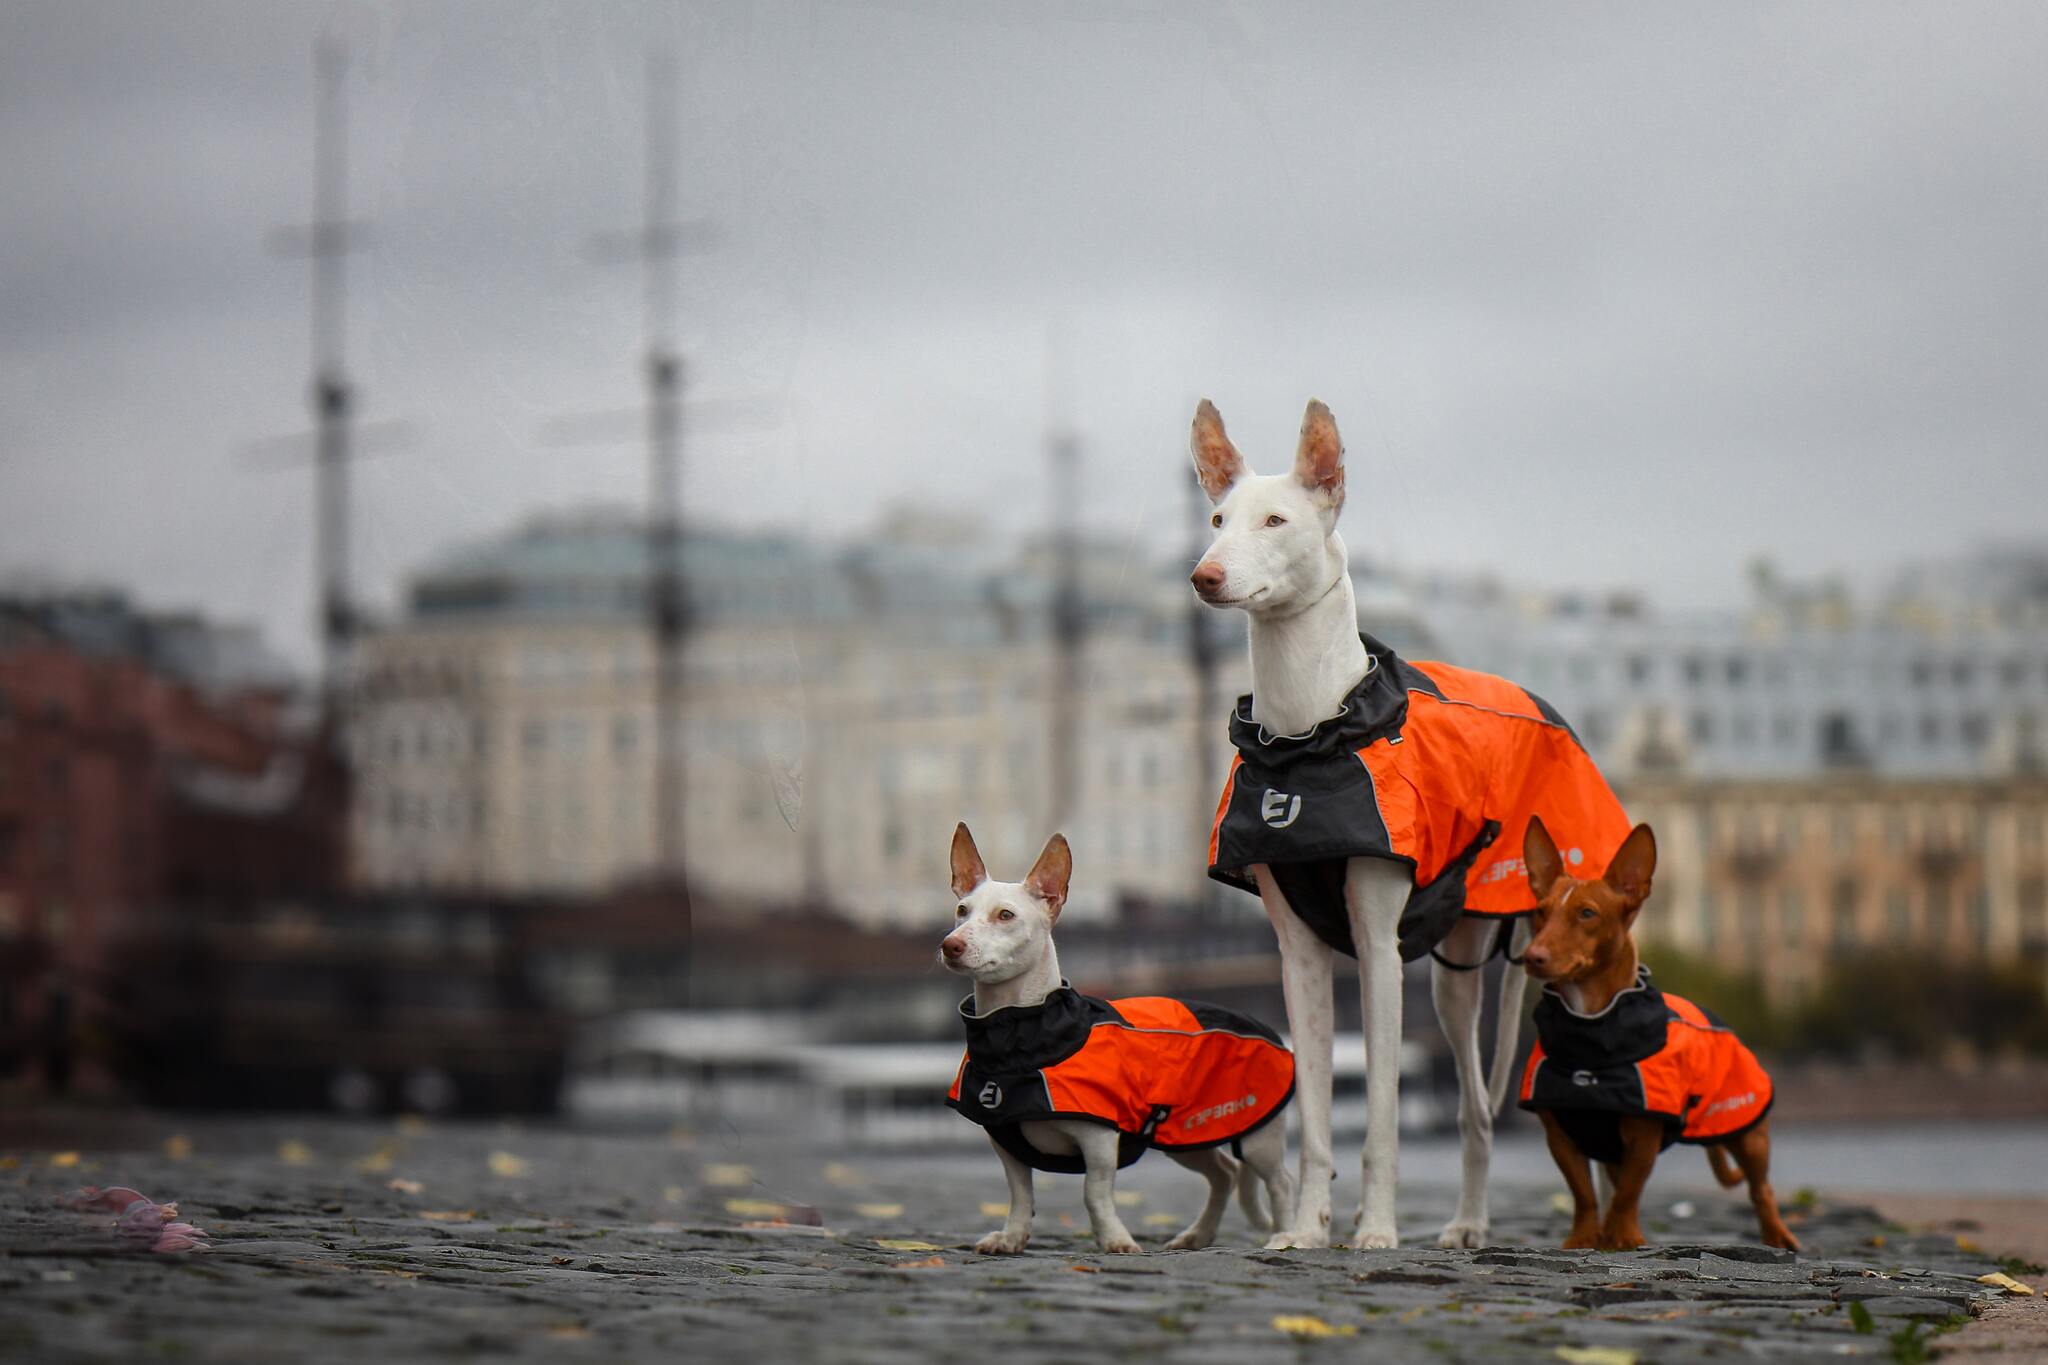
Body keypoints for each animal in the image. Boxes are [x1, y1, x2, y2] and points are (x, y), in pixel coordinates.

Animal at [937, 822, 1294, 1260]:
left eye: (1006, 915)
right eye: (961, 910)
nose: (951, 944)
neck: (1023, 1032)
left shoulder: (1100, 1141)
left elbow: (1094, 1193)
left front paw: (1114, 1239)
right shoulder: (1006, 1143)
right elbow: (1020, 1194)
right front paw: (1012, 1237)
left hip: (1258, 1138)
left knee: (1279, 1181)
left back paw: (1285, 1236)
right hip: (1187, 1135)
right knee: (1224, 1174)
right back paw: (1198, 1235)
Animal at [1187, 397, 1630, 1252]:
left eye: (1275, 519)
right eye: (1218, 518)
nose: (1205, 575)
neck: (1308, 733)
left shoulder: (1377, 946)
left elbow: (1386, 1117)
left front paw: (1378, 1231)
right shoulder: (1299, 954)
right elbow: (1317, 1115)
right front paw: (1305, 1230)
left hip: (1502, 971)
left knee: (1482, 1108)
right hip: (1453, 976)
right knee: (1477, 1112)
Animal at [1515, 818, 1802, 1252]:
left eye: (1587, 913)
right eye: (1539, 912)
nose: (1533, 957)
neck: (1593, 1034)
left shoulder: (1643, 1138)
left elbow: (1629, 1192)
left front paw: (1625, 1239)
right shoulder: (1561, 1137)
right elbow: (1584, 1193)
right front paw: (1586, 1239)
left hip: (1748, 1133)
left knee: (1760, 1190)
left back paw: (1777, 1236)